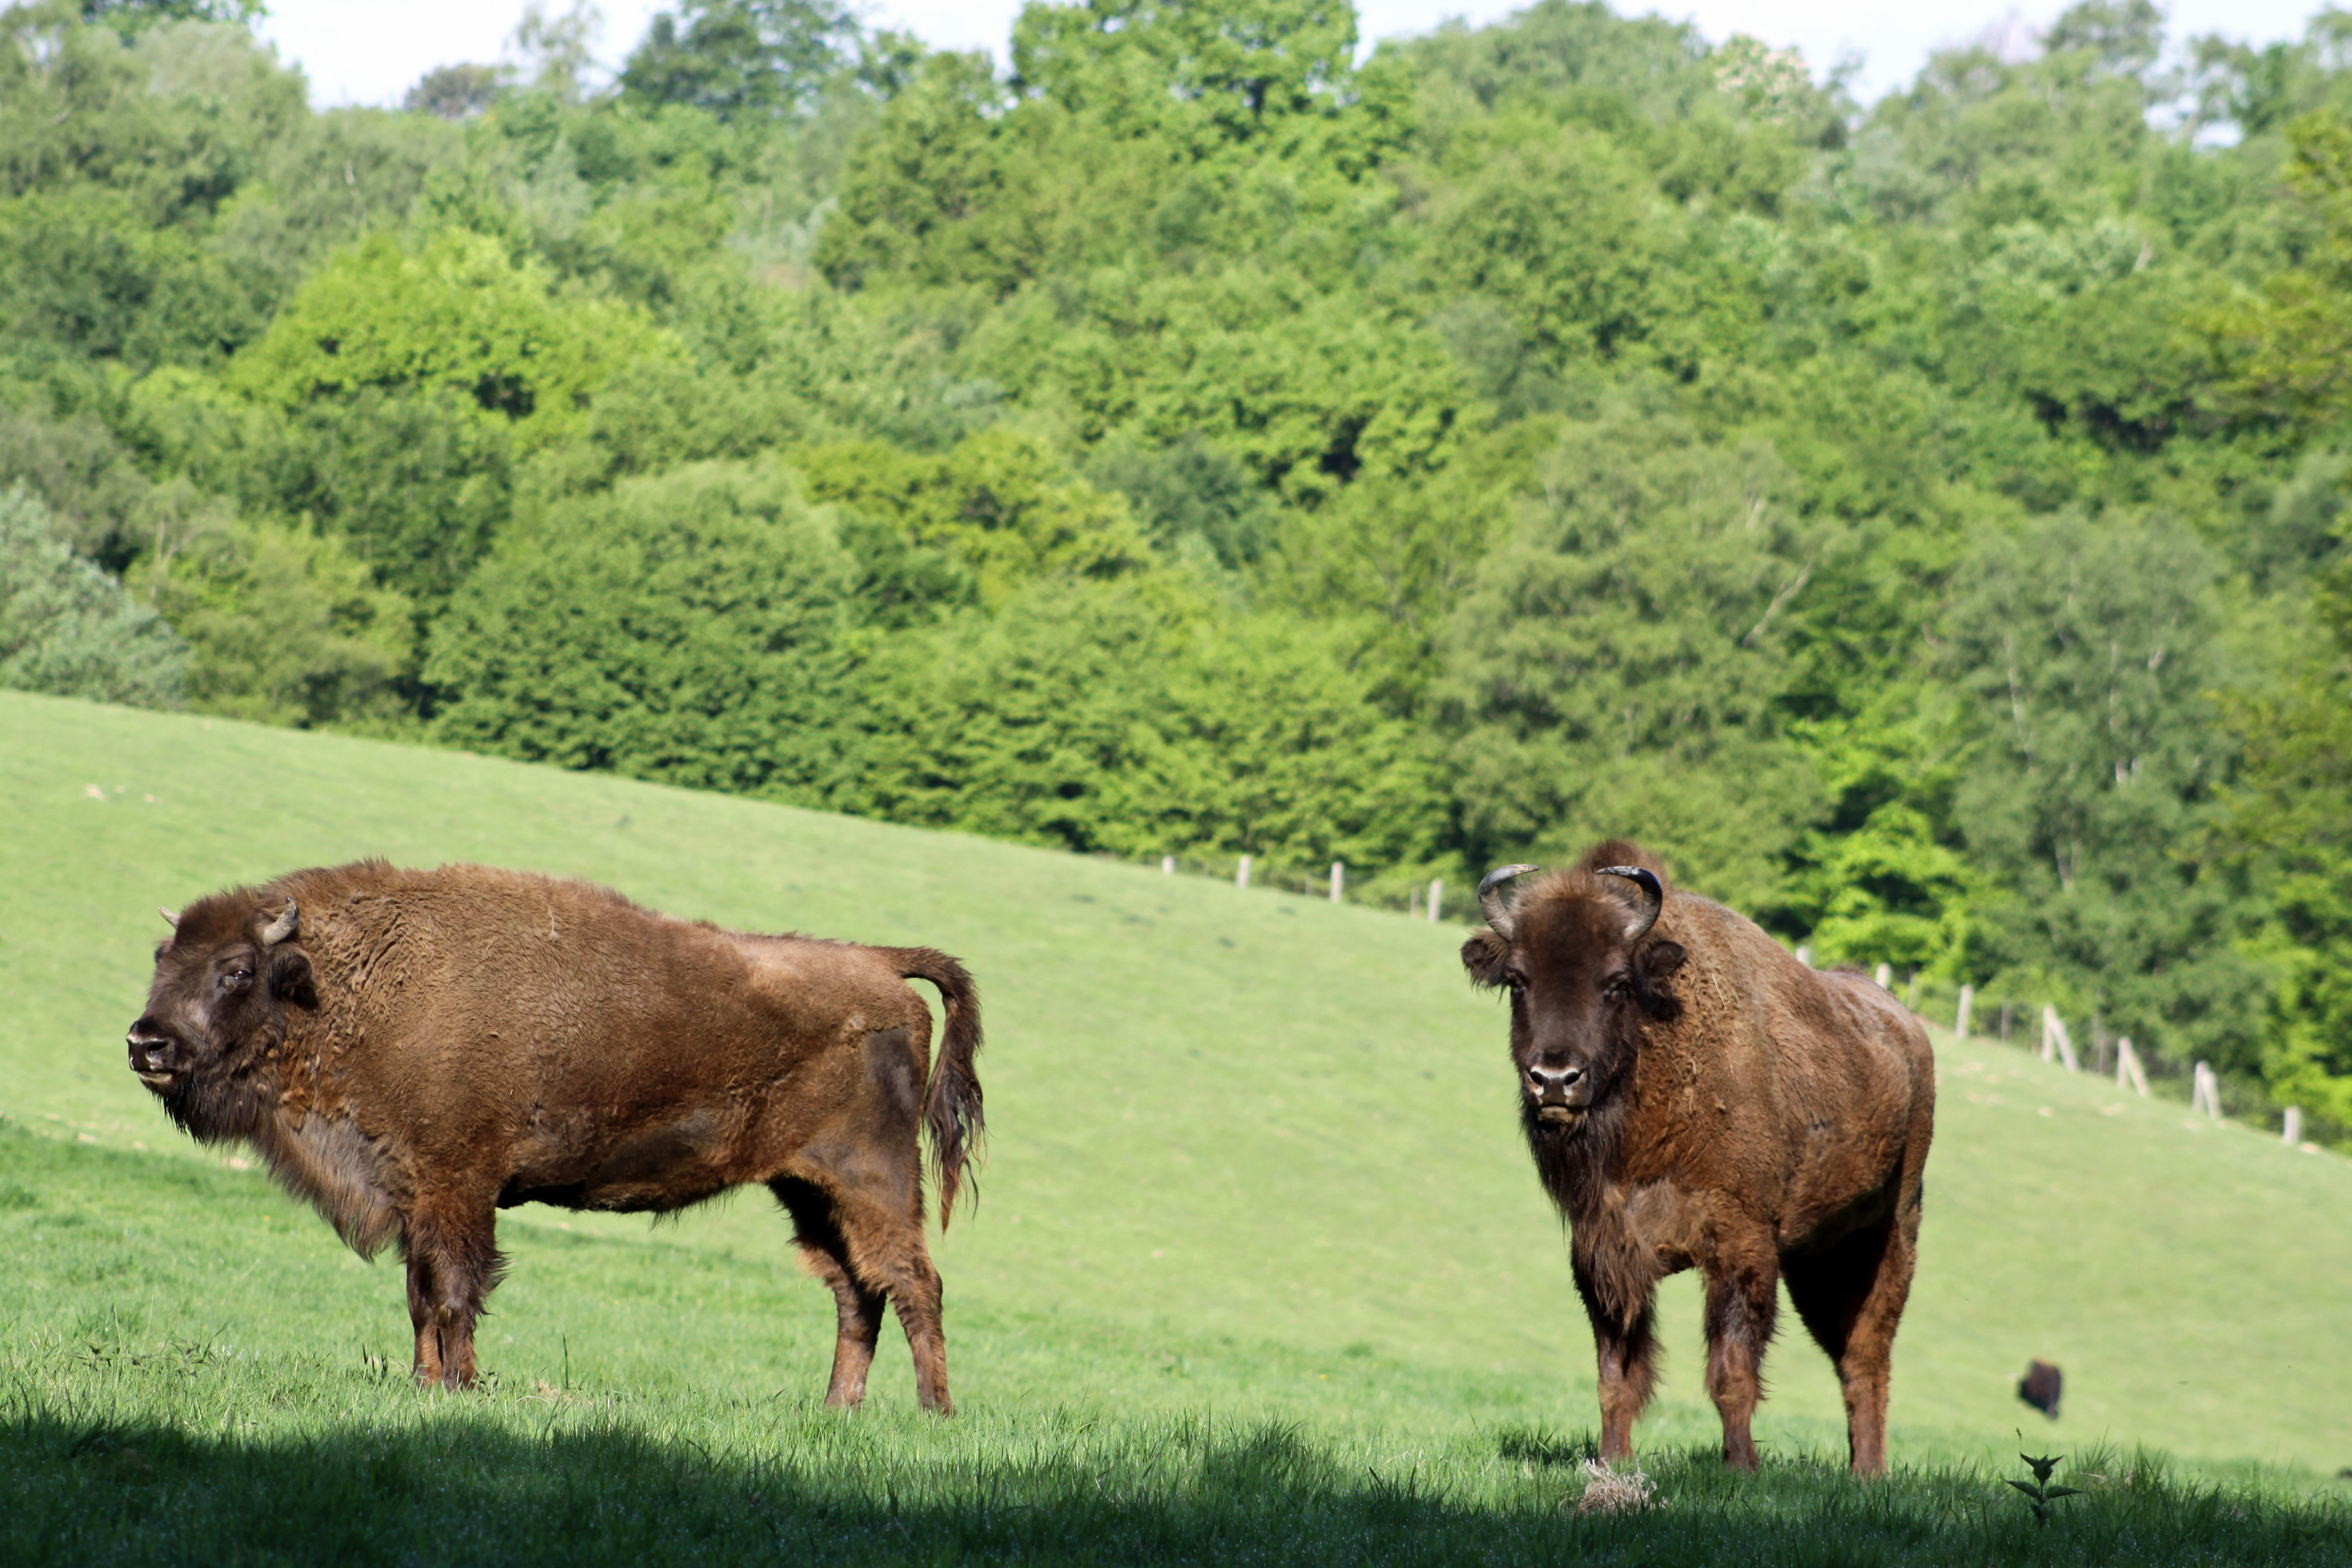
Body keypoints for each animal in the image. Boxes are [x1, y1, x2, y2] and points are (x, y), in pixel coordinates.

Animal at [123, 860, 988, 1410]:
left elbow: (454, 1293)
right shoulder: (414, 1193)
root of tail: (878, 965)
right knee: (855, 1292)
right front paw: (424, 1384)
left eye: (236, 969)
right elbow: (420, 1295)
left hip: (873, 1180)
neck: (348, 984)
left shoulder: (459, 1187)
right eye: (162, 957)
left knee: (913, 1282)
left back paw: (933, 1412)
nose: (146, 1042)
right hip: (808, 1190)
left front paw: (461, 1386)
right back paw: (838, 1407)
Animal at [1458, 846, 1938, 1476]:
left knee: (1867, 1355)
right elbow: (1616, 1375)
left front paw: (1740, 1468)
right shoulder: (1604, 1255)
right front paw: (1611, 1463)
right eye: (1517, 980)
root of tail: (1907, 1030)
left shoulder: (1740, 1247)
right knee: (1849, 1355)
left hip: (1891, 1233)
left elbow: (1731, 1371)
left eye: (1616, 982)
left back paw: (1869, 1475)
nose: (1555, 1079)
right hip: (1814, 1256)